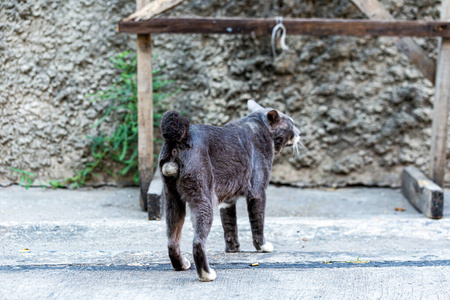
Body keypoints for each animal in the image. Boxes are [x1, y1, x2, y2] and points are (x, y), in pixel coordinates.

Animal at [160, 100, 300, 282]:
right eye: (292, 123)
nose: (299, 133)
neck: (258, 124)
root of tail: (179, 138)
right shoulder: (258, 191)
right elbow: (258, 222)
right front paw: (262, 246)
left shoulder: (227, 200)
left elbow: (229, 223)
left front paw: (233, 249)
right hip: (203, 198)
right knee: (197, 242)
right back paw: (207, 274)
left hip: (172, 199)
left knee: (172, 240)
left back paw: (181, 264)